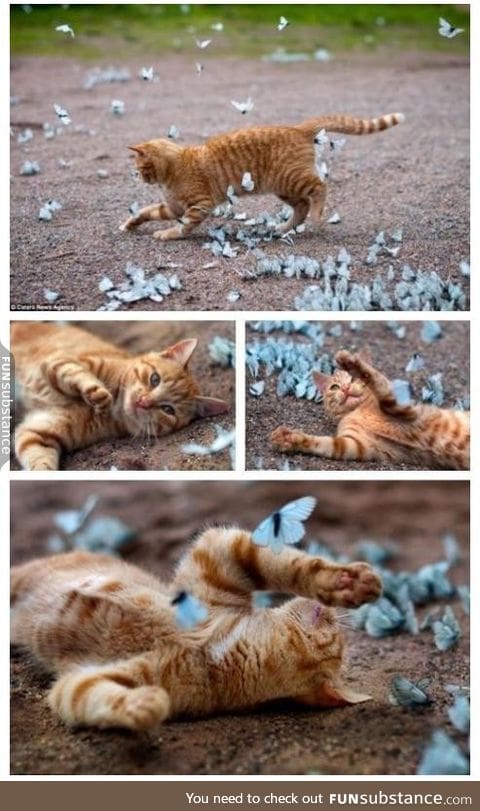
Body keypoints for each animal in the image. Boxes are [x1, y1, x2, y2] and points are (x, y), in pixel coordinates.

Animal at [10, 528, 382, 732]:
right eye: (336, 630)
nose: (332, 613)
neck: (214, 651)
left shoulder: (82, 680)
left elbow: (92, 697)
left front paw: (142, 706)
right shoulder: (217, 555)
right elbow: (287, 564)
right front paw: (344, 582)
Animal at [11, 324, 229, 472]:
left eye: (168, 410)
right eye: (155, 379)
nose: (144, 401)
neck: (114, 408)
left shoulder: (39, 433)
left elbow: (40, 460)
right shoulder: (58, 361)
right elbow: (76, 373)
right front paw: (98, 394)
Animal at [118, 114, 404, 241]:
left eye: (139, 167)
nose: (135, 176)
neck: (175, 167)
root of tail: (297, 128)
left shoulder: (199, 205)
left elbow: (184, 225)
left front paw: (169, 234)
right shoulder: (173, 207)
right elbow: (145, 211)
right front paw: (130, 224)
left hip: (293, 179)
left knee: (320, 188)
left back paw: (317, 214)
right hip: (284, 188)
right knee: (301, 206)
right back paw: (283, 228)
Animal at [272, 348, 470, 470]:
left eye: (352, 379)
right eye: (334, 387)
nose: (345, 388)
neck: (359, 411)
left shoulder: (403, 408)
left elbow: (374, 378)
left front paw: (353, 364)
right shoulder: (357, 444)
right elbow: (324, 444)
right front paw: (290, 439)